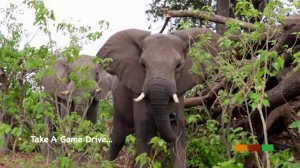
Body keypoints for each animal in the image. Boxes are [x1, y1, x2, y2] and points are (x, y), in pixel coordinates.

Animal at [97, 27, 219, 167]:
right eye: (143, 65)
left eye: (178, 66)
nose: (171, 116)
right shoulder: (137, 88)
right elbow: (145, 132)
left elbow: (179, 135)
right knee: (117, 140)